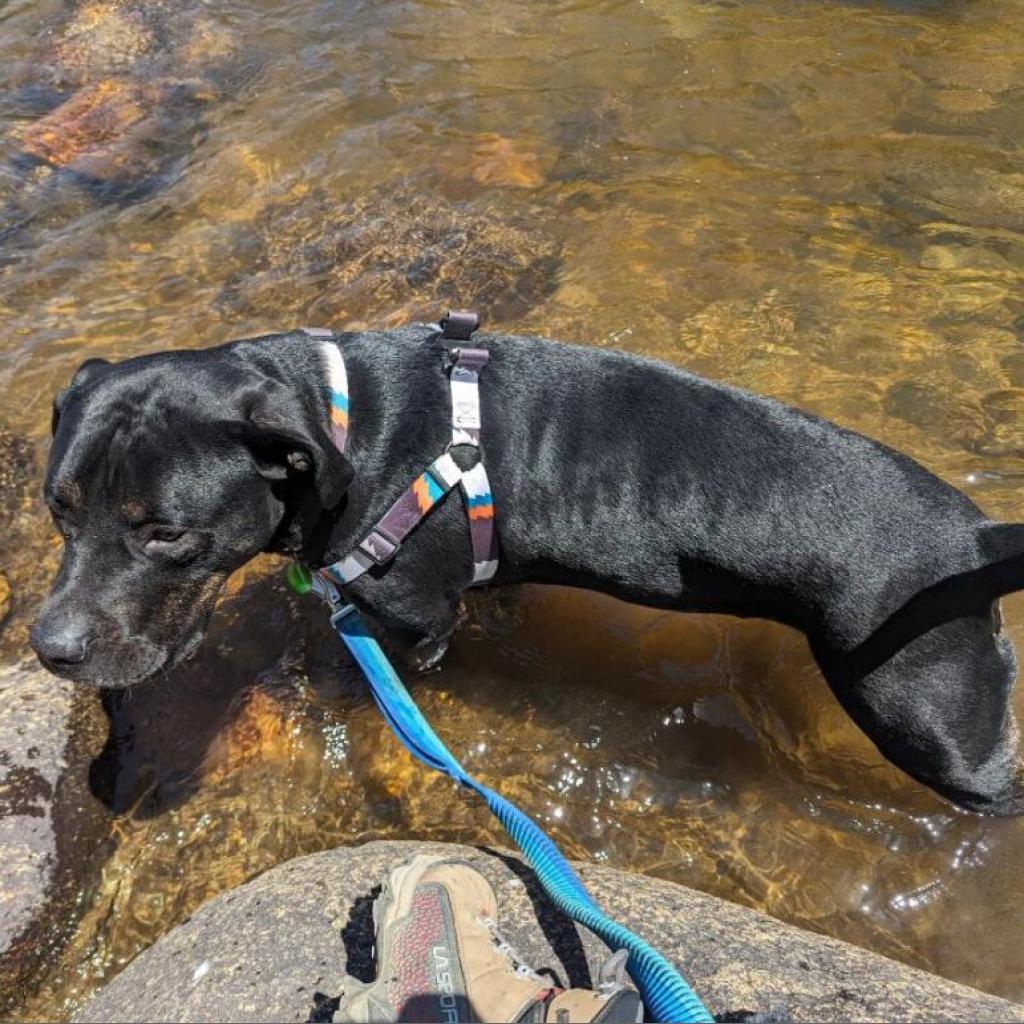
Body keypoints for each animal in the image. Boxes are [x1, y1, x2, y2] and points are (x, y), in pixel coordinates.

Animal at [32, 323, 1024, 811]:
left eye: (166, 534)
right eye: (57, 508)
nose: (50, 647)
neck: (339, 420)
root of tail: (976, 541)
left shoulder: (417, 617)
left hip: (930, 720)